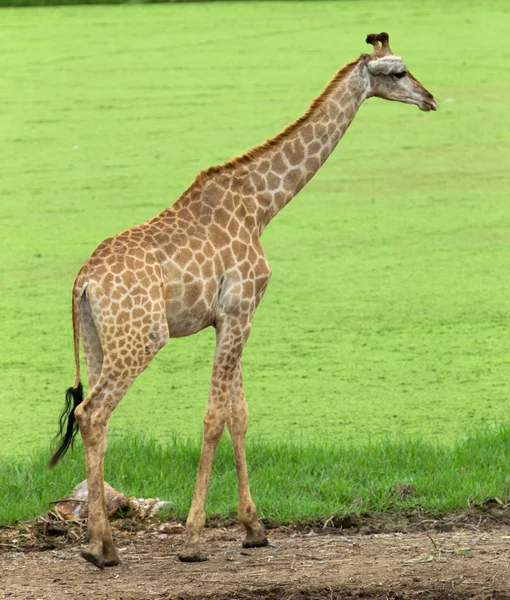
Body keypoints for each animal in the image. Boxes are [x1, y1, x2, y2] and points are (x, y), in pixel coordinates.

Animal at [49, 31, 436, 568]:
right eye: (398, 72)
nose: (430, 99)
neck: (262, 205)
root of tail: (82, 282)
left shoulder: (230, 316)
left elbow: (241, 414)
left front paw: (254, 529)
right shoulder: (241, 308)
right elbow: (215, 416)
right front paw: (193, 541)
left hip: (96, 338)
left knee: (92, 419)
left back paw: (93, 545)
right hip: (142, 336)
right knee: (93, 412)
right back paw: (104, 549)